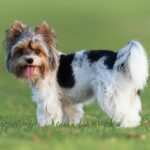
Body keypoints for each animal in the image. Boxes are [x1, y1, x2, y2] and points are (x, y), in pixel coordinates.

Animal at [3, 20, 149, 127]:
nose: (29, 59)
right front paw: (69, 125)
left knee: (126, 112)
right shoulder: (67, 102)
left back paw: (127, 125)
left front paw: (45, 126)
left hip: (110, 93)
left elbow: (47, 111)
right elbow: (70, 113)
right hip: (128, 94)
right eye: (21, 51)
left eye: (38, 51)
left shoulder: (48, 97)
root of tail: (117, 57)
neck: (47, 64)